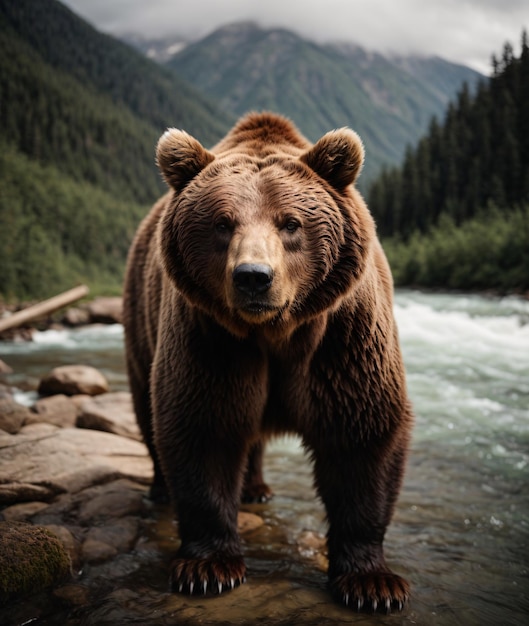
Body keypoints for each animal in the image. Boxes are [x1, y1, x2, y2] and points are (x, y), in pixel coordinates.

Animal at [122, 111, 412, 608]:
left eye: (290, 223)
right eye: (222, 223)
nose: (254, 277)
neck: (275, 331)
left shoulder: (341, 339)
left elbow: (362, 435)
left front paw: (372, 582)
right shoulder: (211, 339)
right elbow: (203, 425)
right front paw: (208, 567)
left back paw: (256, 488)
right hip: (141, 324)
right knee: (148, 409)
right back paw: (161, 490)